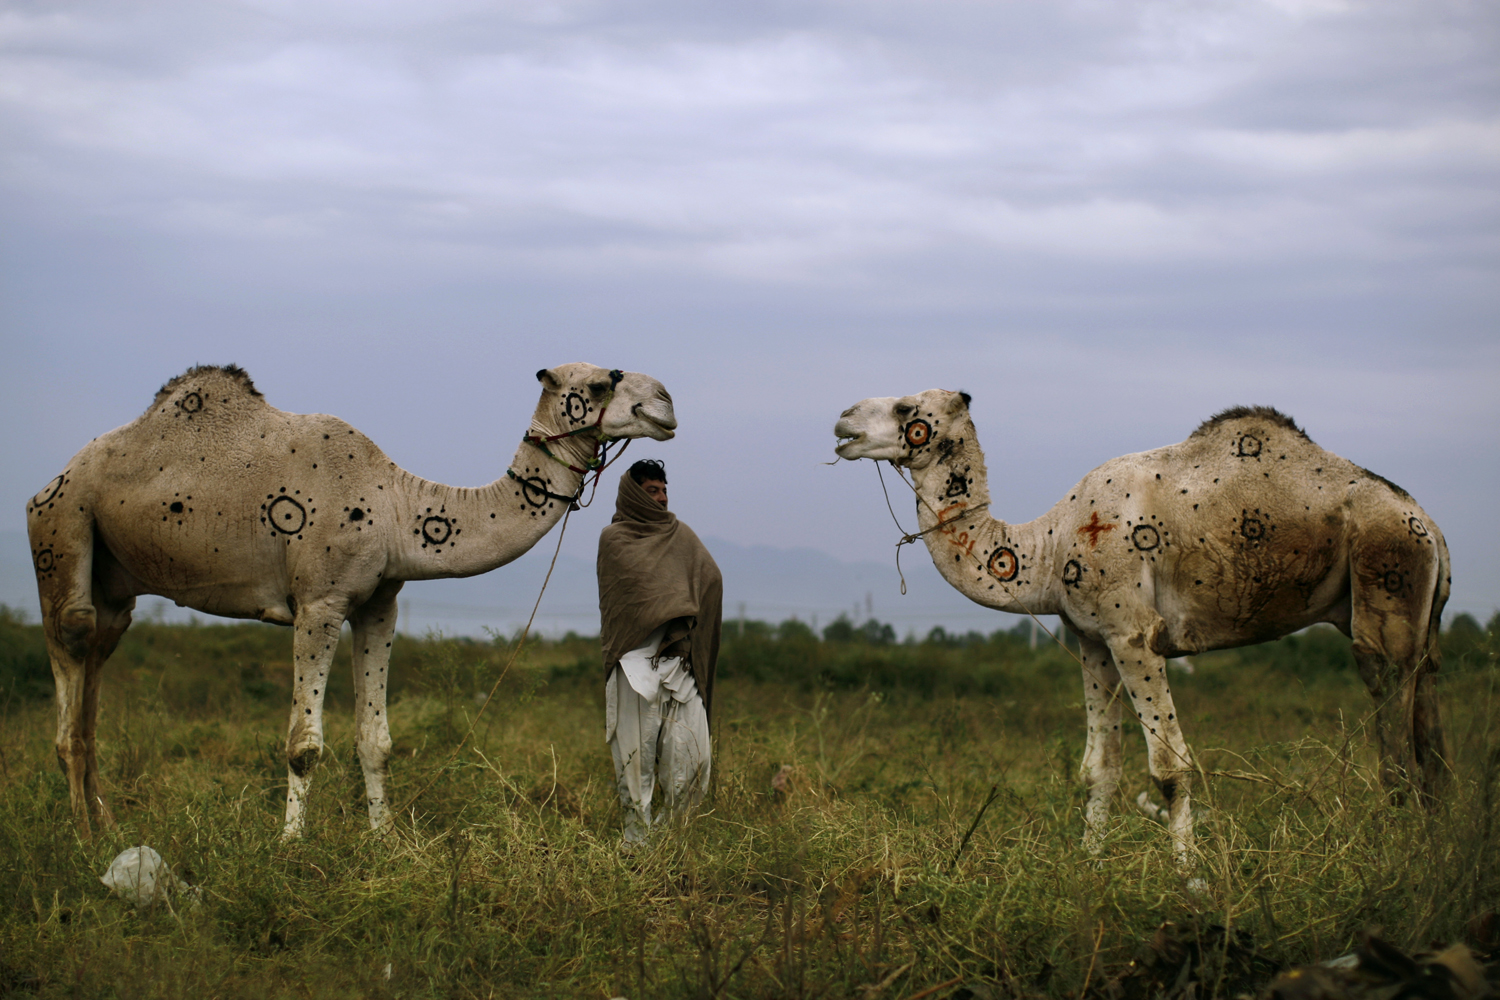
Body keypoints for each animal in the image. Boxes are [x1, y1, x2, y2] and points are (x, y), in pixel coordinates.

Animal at [28, 363, 677, 838]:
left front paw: (384, 843)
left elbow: (376, 740)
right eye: (603, 382)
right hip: (61, 529)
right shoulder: (319, 601)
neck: (395, 505)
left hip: (115, 584)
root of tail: (51, 481)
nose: (666, 402)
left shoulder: (378, 602)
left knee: (97, 668)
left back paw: (106, 826)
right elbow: (304, 745)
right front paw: (289, 849)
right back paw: (82, 840)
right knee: (72, 648)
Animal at [834, 392, 1449, 862]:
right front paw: (1089, 869)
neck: (1049, 545)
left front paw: (1191, 880)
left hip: (1386, 574)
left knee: (1394, 733)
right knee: (1432, 742)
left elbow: (1170, 766)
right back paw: (1432, 852)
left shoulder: (1133, 631)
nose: (842, 422)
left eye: (906, 409)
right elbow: (1099, 768)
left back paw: (1397, 852)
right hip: (1426, 621)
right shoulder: (1091, 639)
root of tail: (1430, 525)